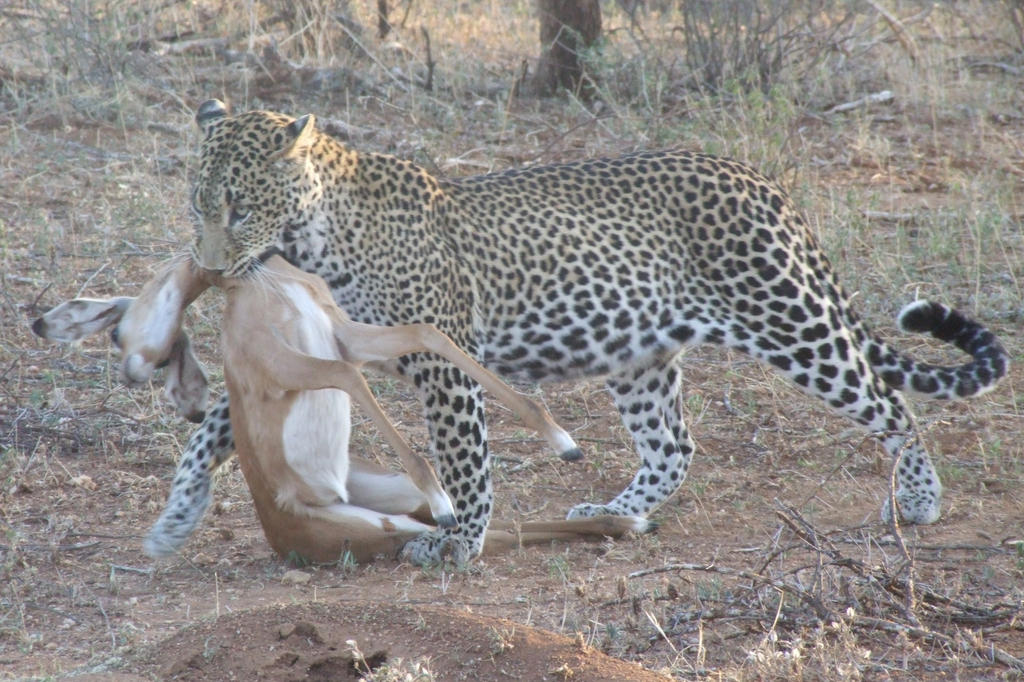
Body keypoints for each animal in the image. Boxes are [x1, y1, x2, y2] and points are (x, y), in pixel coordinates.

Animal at [144, 98, 1008, 565]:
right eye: (195, 202)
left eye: (239, 207)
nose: (209, 267)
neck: (312, 237)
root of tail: (760, 179)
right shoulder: (322, 349)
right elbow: (214, 429)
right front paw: (174, 518)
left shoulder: (443, 362)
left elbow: (464, 461)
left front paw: (462, 542)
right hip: (640, 352)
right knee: (674, 443)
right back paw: (617, 508)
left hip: (791, 322)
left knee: (889, 401)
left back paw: (920, 500)